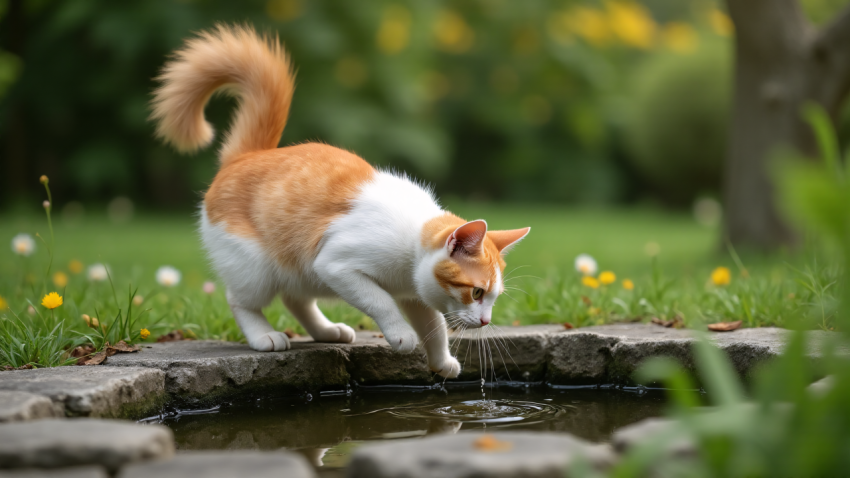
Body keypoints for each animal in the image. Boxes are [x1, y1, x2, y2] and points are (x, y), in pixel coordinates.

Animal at [149, 25, 528, 378]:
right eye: (476, 293)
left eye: (493, 297)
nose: (485, 321)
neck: (410, 247)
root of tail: (247, 156)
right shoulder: (336, 264)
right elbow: (380, 300)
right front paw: (401, 334)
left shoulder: (414, 290)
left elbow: (432, 325)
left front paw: (441, 361)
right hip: (255, 265)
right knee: (241, 299)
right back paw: (263, 336)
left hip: (299, 268)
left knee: (295, 298)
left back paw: (326, 331)